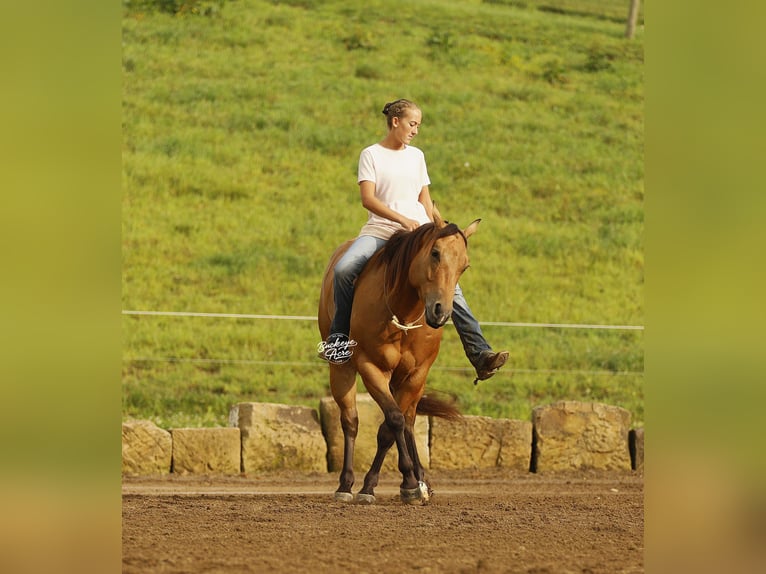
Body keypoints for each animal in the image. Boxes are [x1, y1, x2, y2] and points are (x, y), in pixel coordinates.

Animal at [318, 213, 480, 504]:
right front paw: (382, 485)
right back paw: (345, 485)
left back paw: (420, 478)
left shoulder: (417, 374)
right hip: (341, 370)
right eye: (435, 253)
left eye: (464, 266)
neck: (403, 313)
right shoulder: (371, 367)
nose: (440, 312)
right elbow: (392, 420)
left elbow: (393, 427)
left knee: (409, 422)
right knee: (350, 421)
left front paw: (408, 483)